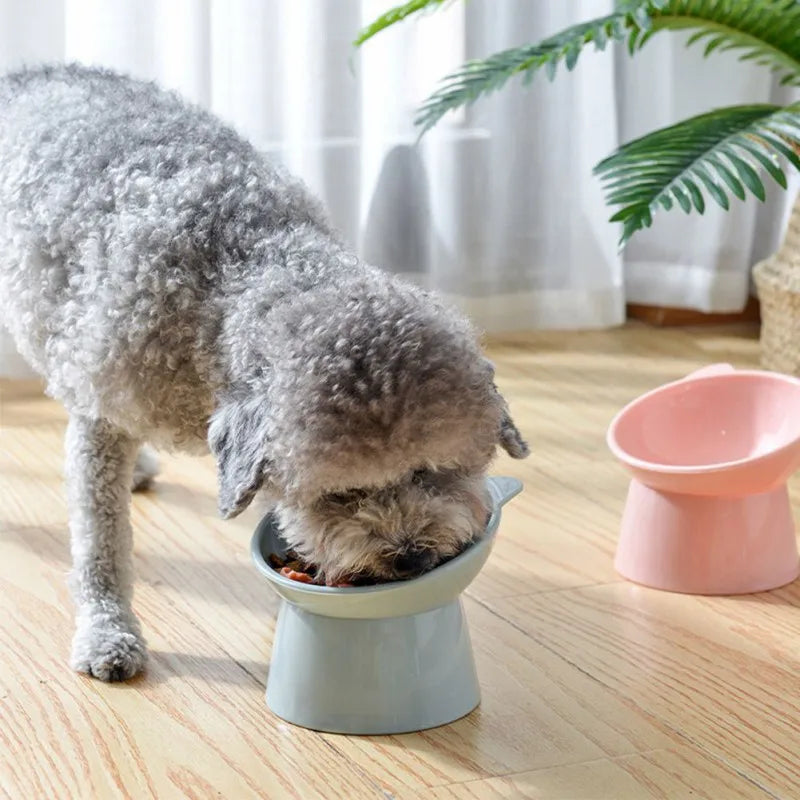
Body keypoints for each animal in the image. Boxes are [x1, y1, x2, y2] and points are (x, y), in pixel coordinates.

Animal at [1, 65, 532, 684]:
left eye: (433, 471)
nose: (411, 558)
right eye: (340, 495)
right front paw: (108, 633)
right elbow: (100, 546)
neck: (233, 277)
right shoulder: (100, 417)